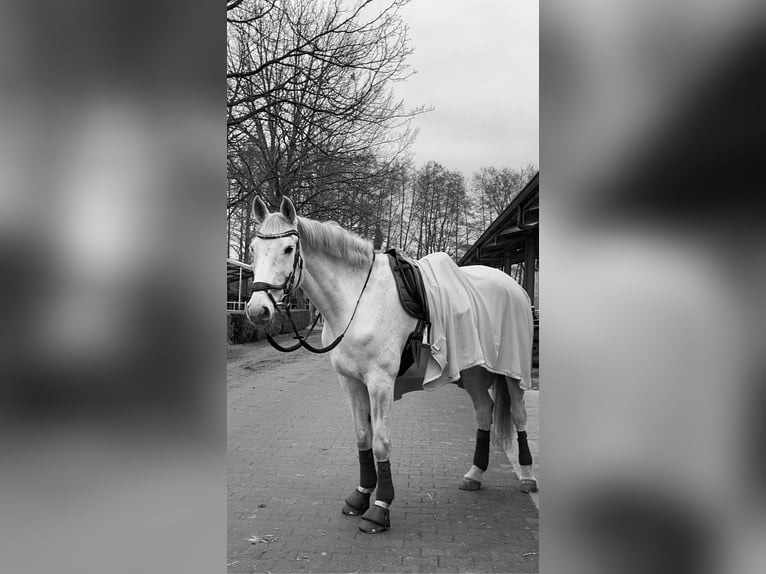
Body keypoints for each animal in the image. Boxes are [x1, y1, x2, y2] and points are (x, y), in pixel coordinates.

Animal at [245, 196, 537, 534]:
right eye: (253, 248)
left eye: (289, 248)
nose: (257, 311)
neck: (357, 300)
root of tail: (513, 286)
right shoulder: (351, 382)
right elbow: (363, 437)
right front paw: (360, 496)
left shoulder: (379, 382)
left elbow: (381, 442)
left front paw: (380, 508)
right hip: (474, 372)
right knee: (483, 412)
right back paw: (474, 475)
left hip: (512, 372)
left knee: (519, 415)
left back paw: (527, 477)